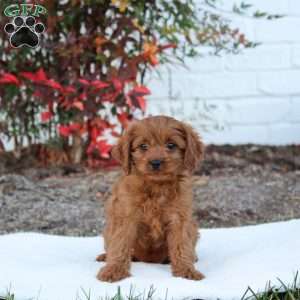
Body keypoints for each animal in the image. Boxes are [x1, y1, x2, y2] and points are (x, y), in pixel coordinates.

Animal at [97, 115, 205, 282]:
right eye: (143, 146)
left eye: (171, 145)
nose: (155, 162)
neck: (156, 186)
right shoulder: (125, 216)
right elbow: (120, 244)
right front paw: (114, 270)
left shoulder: (179, 219)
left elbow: (181, 245)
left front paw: (186, 270)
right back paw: (105, 257)